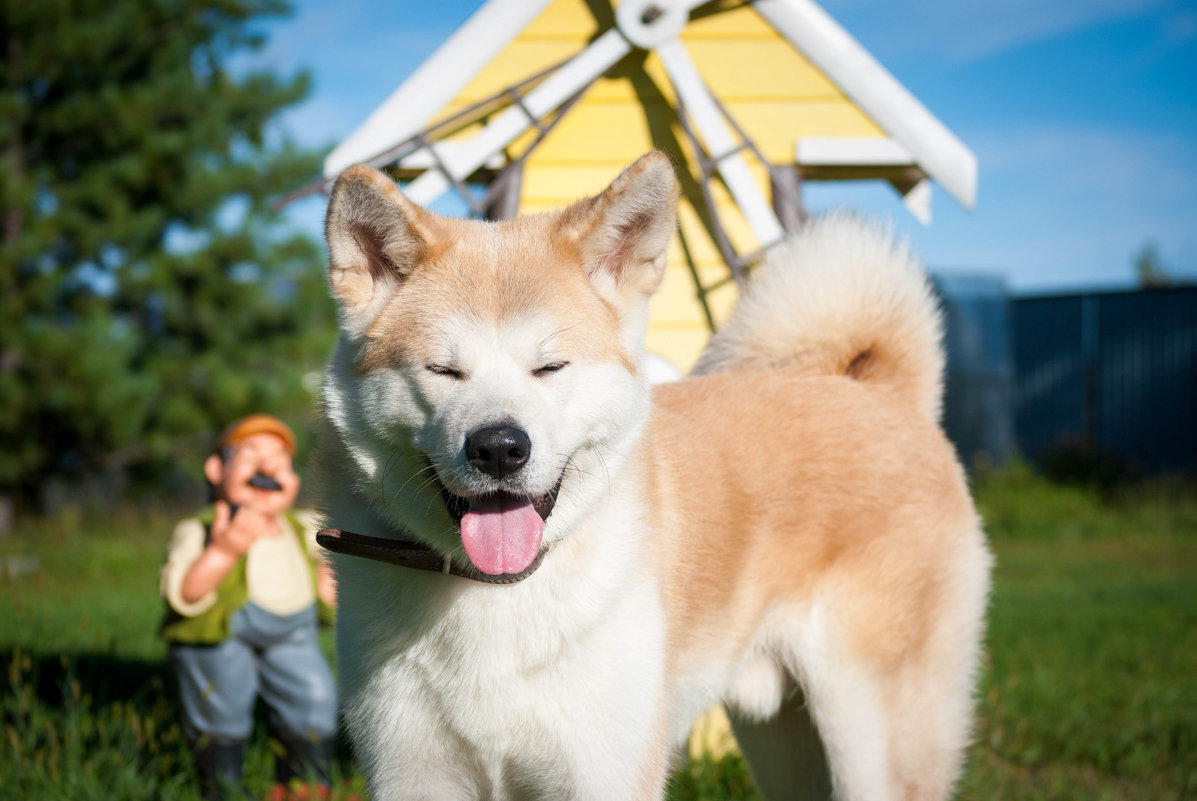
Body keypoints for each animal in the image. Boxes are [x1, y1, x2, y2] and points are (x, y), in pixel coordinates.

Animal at [316, 151, 991, 799]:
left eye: (551, 367)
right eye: (443, 370)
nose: (500, 447)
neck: (496, 594)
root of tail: (884, 395)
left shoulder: (601, 774)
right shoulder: (415, 776)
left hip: (876, 748)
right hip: (786, 750)